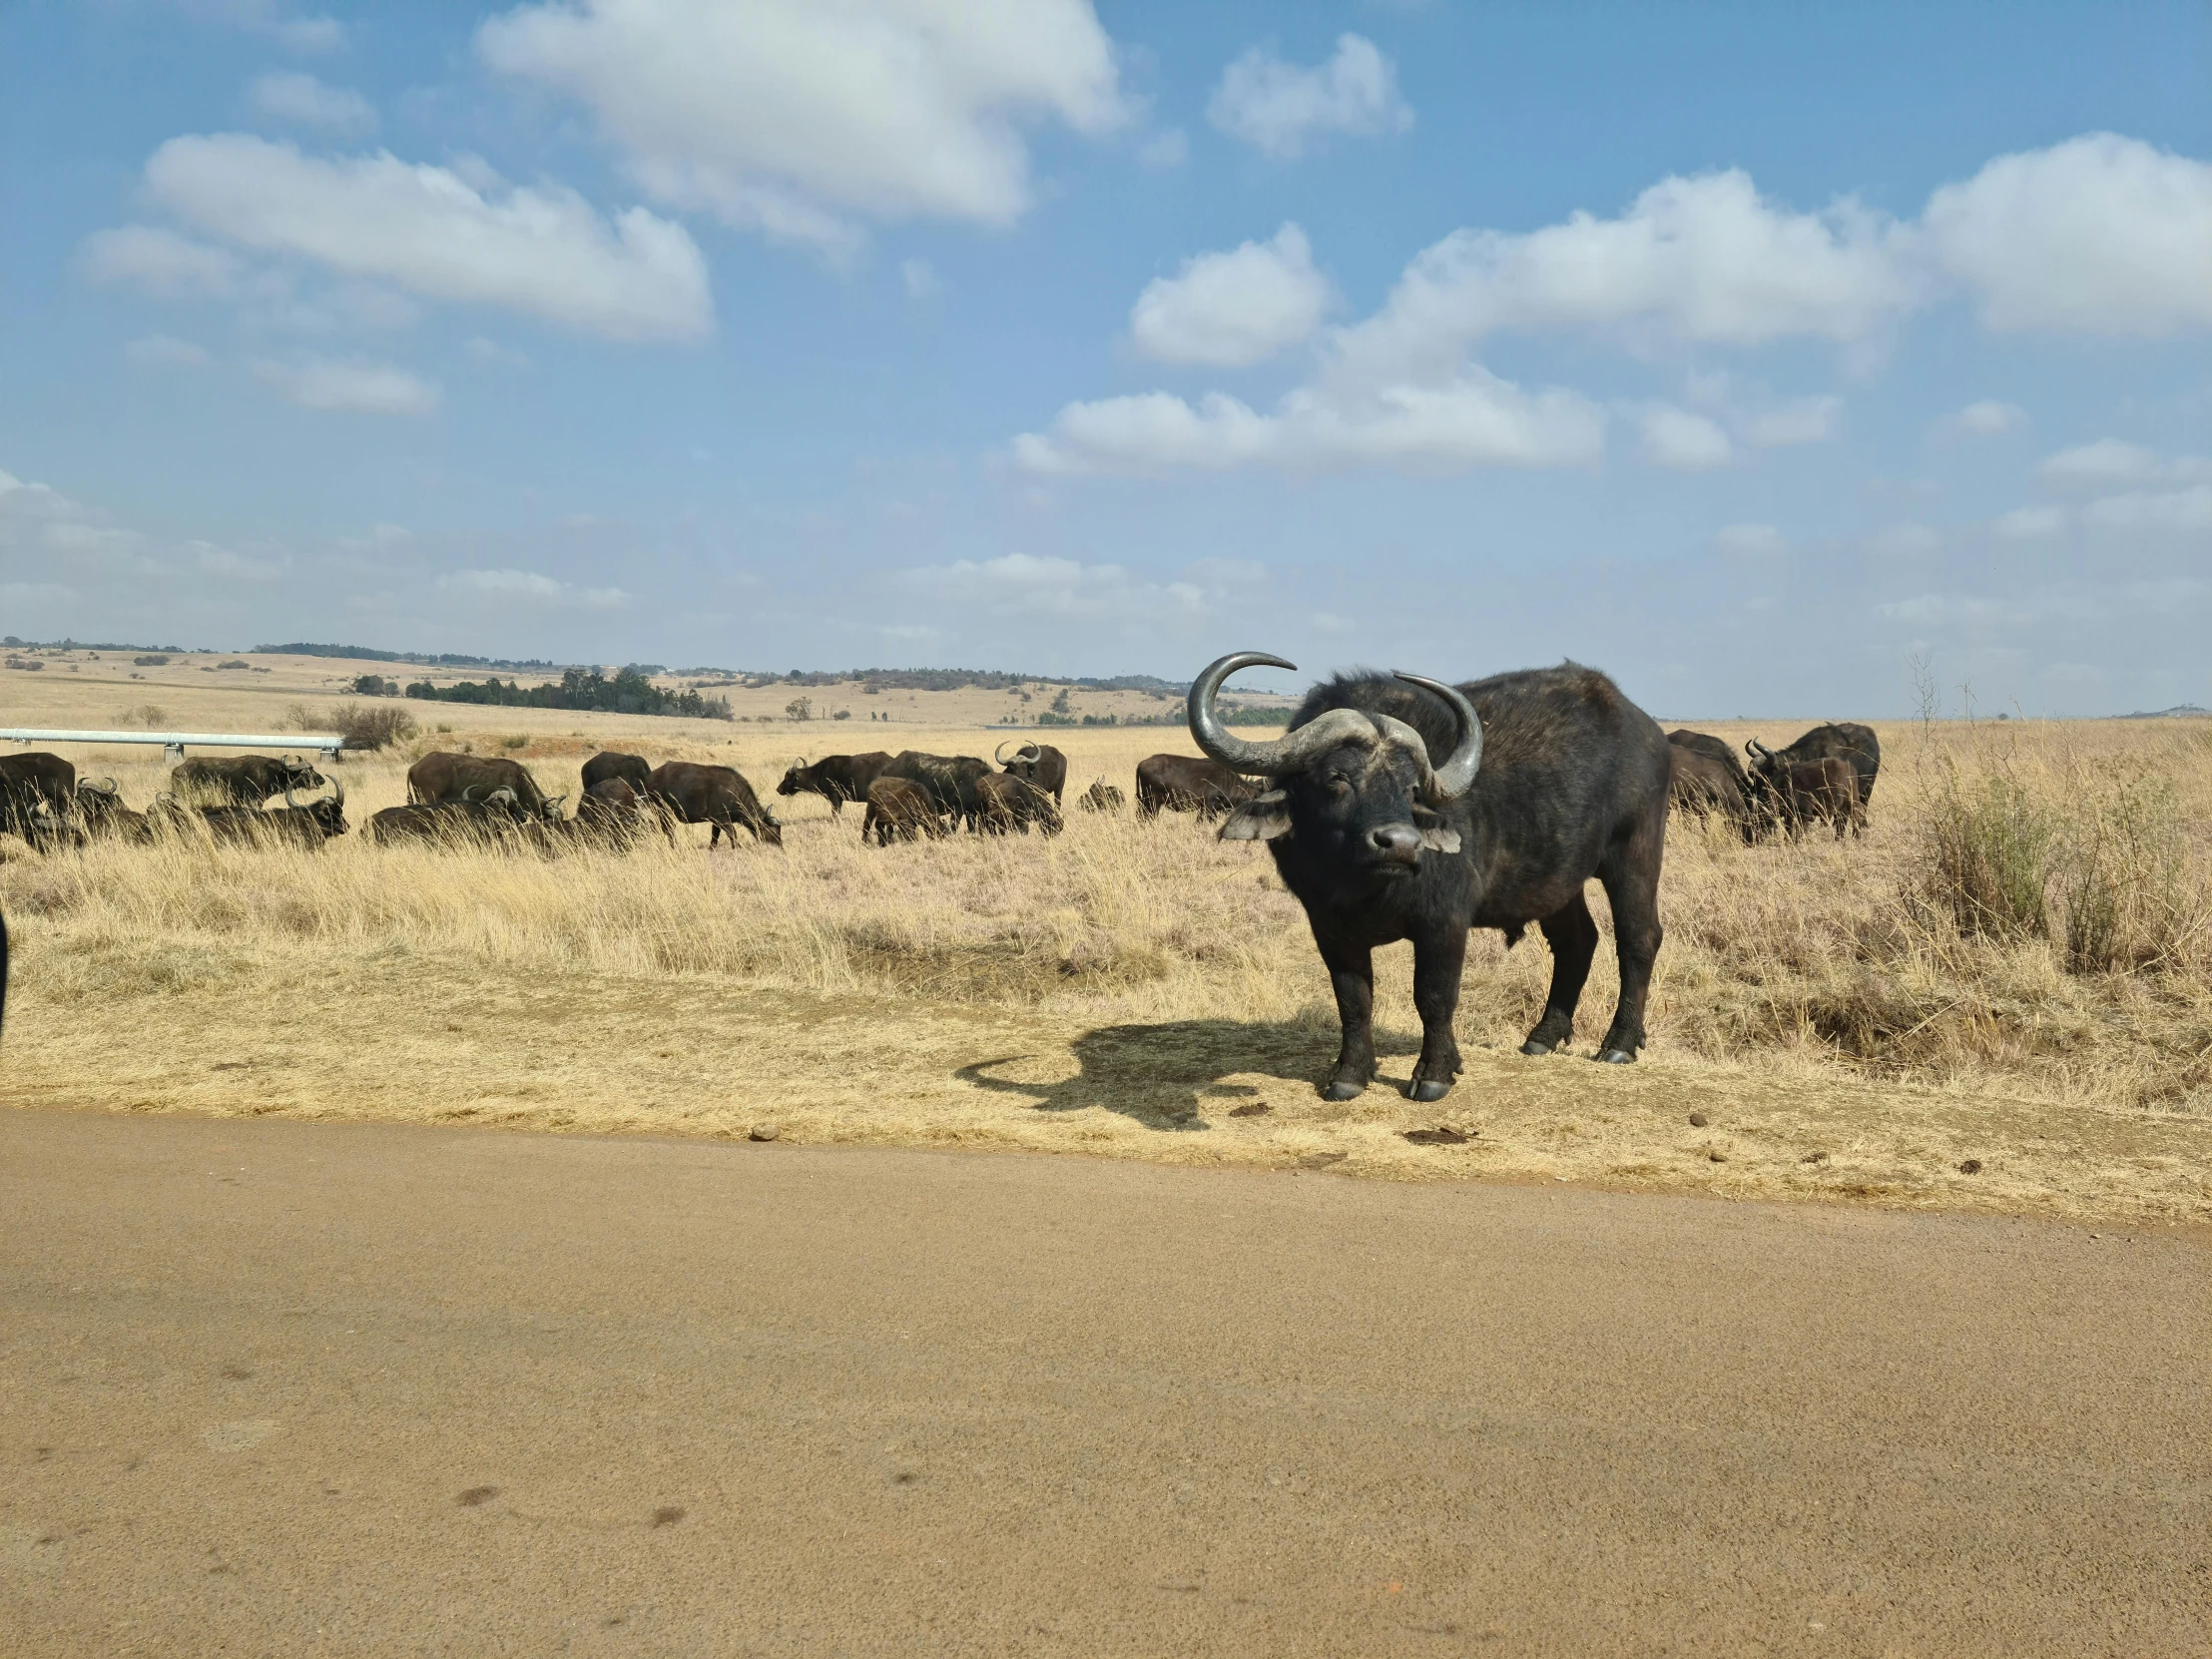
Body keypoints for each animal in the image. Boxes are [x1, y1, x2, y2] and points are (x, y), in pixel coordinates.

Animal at [169, 752, 322, 814]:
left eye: (312, 769)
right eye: (305, 773)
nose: (322, 780)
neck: (271, 773)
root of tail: (177, 769)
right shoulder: (253, 802)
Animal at [646, 765, 783, 848]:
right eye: (774, 831)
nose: (780, 845)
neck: (735, 793)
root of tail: (651, 777)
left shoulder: (716, 822)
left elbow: (714, 836)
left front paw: (711, 848)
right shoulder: (722, 819)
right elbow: (733, 834)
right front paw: (737, 847)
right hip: (662, 811)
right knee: (668, 830)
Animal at [1194, 654, 1663, 1106]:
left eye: (1411, 787)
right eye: (1337, 777)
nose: (1400, 843)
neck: (1362, 888)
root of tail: (1648, 733)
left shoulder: (1444, 924)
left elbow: (1434, 997)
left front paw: (1434, 1074)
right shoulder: (1329, 930)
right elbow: (1353, 1001)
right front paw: (1349, 1075)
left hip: (1635, 854)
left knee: (1639, 938)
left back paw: (1619, 1044)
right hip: (1557, 884)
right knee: (1577, 941)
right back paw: (1542, 1036)